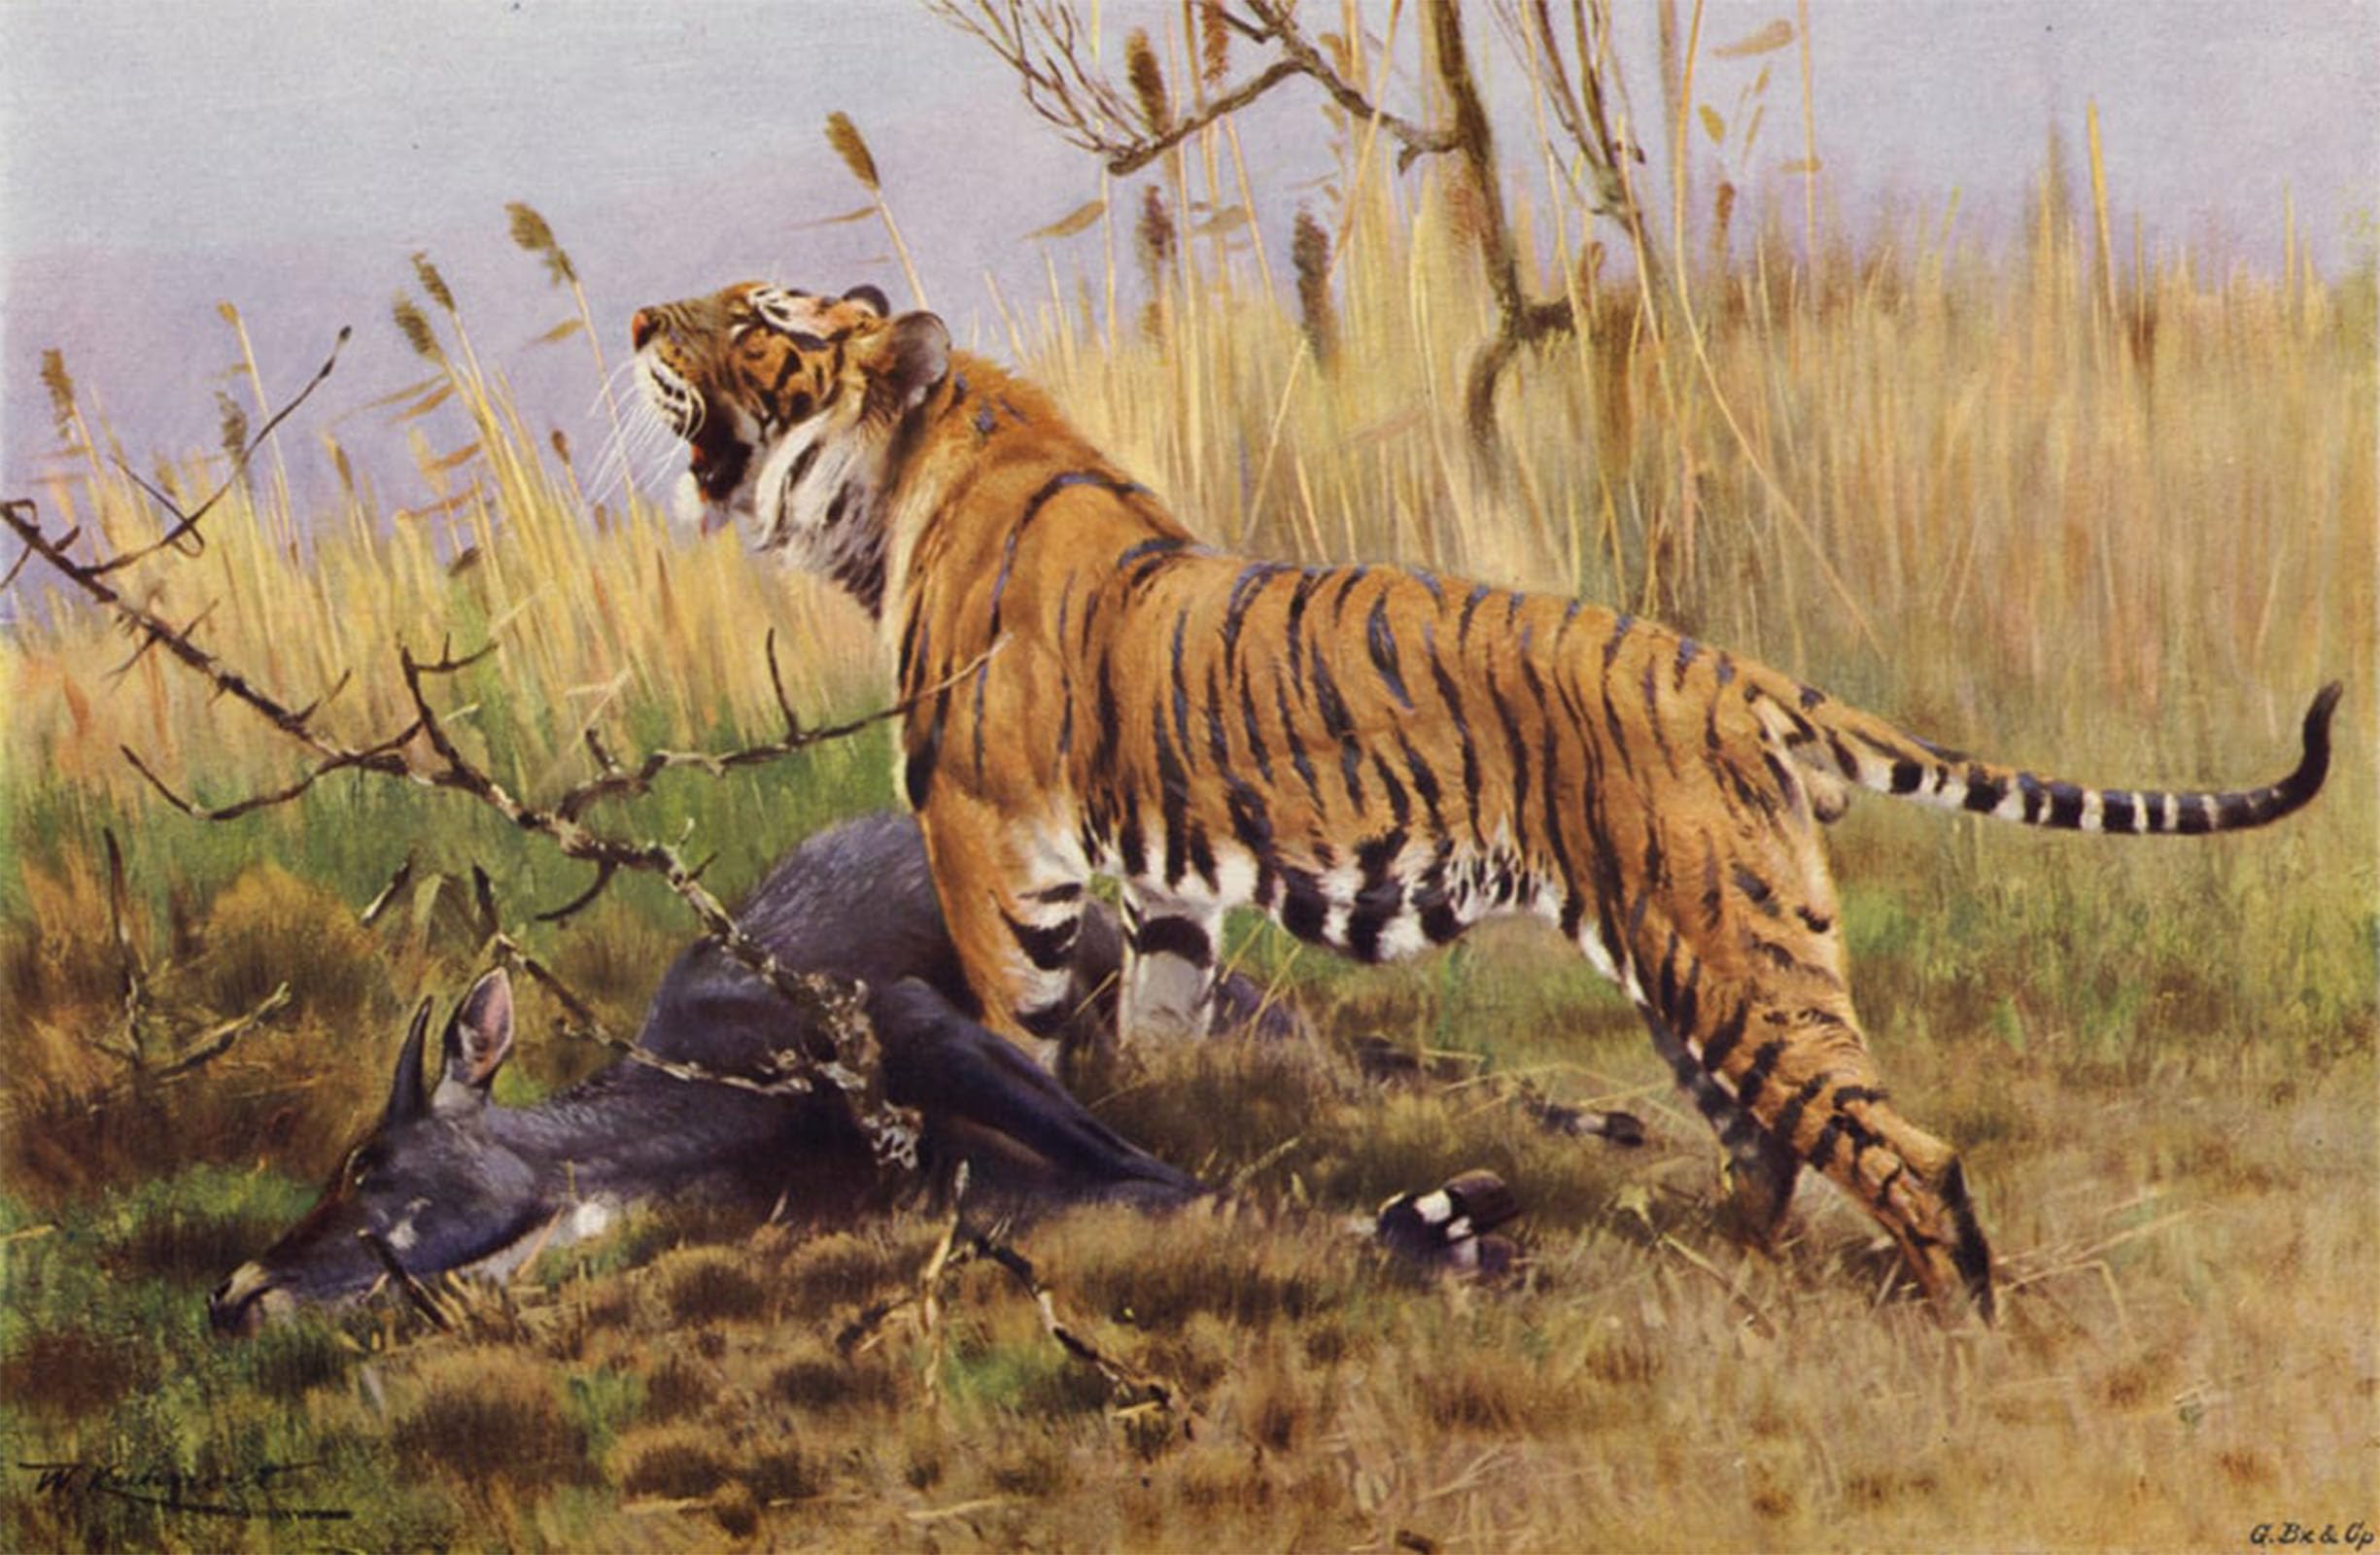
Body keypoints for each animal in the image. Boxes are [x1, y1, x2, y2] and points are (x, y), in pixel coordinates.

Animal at [628, 279, 2340, 1319]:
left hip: (1729, 962)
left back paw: (1954, 1330)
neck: (896, 491)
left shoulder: (990, 844)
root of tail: (1732, 670)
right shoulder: (1158, 880)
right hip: (1705, 959)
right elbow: (1158, 1025)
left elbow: (1018, 1031)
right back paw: (1714, 1263)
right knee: (1769, 1144)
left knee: (1901, 1152)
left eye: (759, 316)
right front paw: (1149, 1145)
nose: (641, 313)